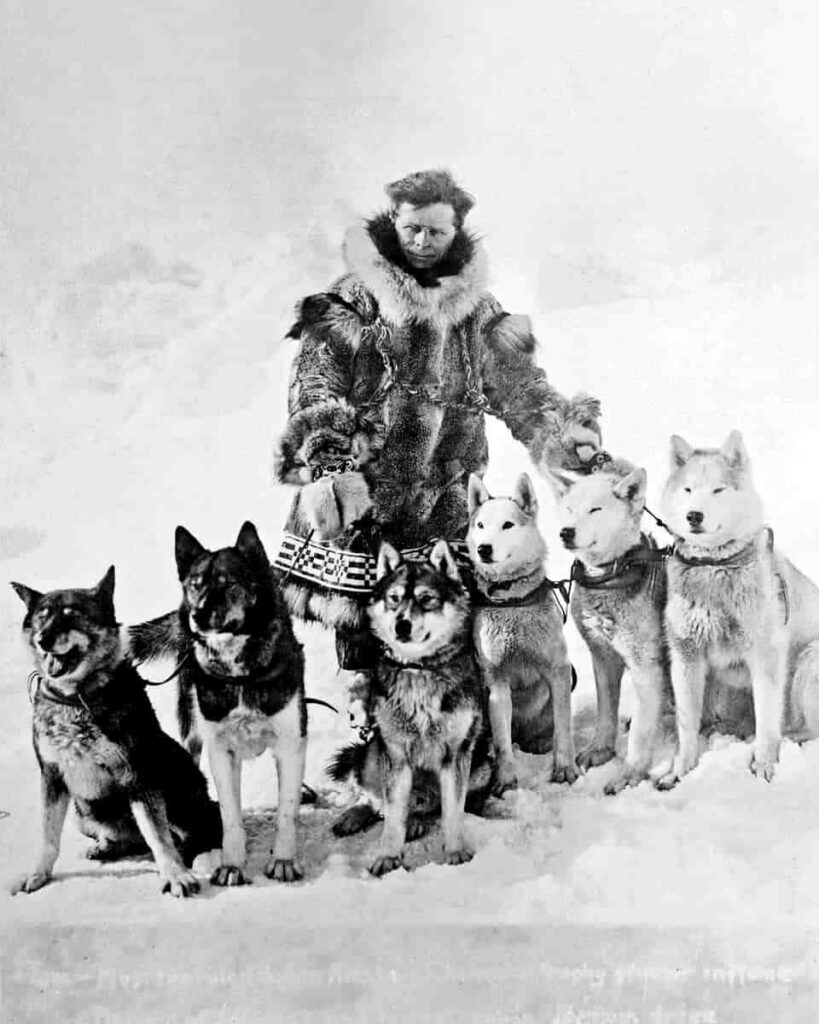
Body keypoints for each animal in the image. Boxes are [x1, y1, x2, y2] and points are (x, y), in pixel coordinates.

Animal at [11, 569, 221, 897]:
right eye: (42, 617)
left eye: (73, 615)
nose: (43, 639)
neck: (78, 697)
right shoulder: (52, 776)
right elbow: (47, 834)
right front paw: (38, 873)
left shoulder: (136, 775)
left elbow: (158, 835)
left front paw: (175, 875)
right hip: (82, 813)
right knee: (129, 839)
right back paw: (107, 846)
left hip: (179, 788)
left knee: (194, 832)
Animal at [129, 524, 305, 884]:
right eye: (196, 584)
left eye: (227, 583)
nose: (196, 615)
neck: (240, 675)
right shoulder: (221, 750)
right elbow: (231, 816)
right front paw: (232, 865)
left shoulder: (290, 744)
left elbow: (286, 810)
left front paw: (283, 860)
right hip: (191, 729)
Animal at [466, 471, 577, 790]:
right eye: (480, 525)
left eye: (507, 524)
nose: (484, 548)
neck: (512, 601)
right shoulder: (497, 681)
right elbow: (503, 742)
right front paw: (505, 779)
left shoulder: (557, 670)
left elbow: (563, 729)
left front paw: (565, 767)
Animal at [659, 428, 819, 786]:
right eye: (688, 489)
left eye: (718, 490)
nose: (694, 515)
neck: (713, 567)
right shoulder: (686, 657)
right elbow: (687, 725)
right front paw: (680, 770)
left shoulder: (766, 655)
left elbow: (767, 722)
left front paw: (765, 765)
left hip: (808, 662)